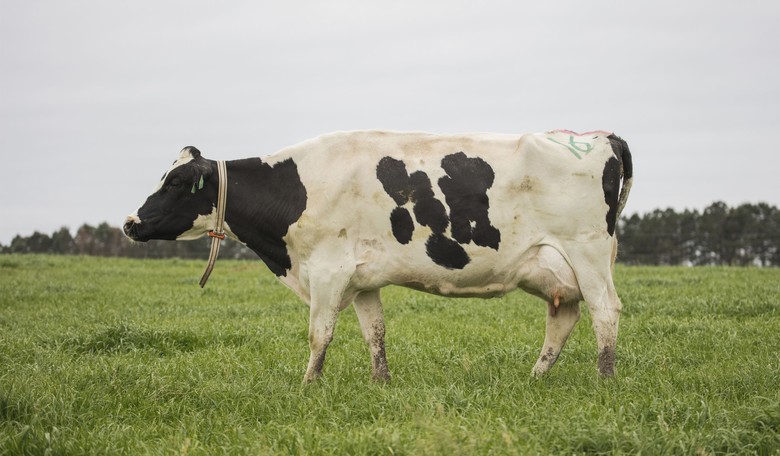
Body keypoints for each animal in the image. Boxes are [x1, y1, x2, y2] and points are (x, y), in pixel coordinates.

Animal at [124, 130, 633, 382]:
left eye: (175, 182)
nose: (130, 222)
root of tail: (599, 137)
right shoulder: (362, 278)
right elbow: (375, 333)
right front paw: (380, 382)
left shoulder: (327, 270)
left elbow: (319, 334)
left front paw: (308, 386)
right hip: (554, 268)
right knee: (564, 317)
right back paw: (536, 376)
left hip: (586, 251)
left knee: (605, 311)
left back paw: (604, 379)